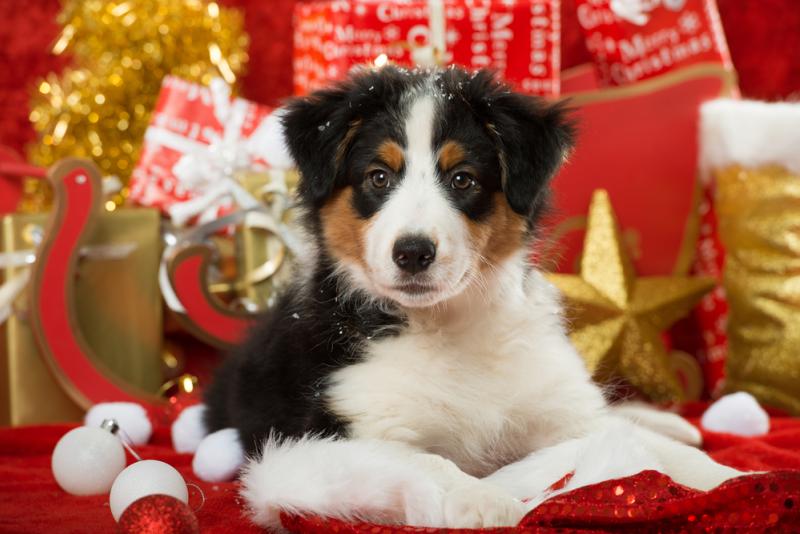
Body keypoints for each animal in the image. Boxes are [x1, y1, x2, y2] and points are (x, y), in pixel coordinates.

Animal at [203, 67, 740, 532]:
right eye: (379, 177)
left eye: (462, 178)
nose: (413, 252)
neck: (448, 325)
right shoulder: (340, 429)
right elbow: (424, 460)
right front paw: (482, 497)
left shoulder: (561, 411)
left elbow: (634, 442)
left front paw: (730, 476)